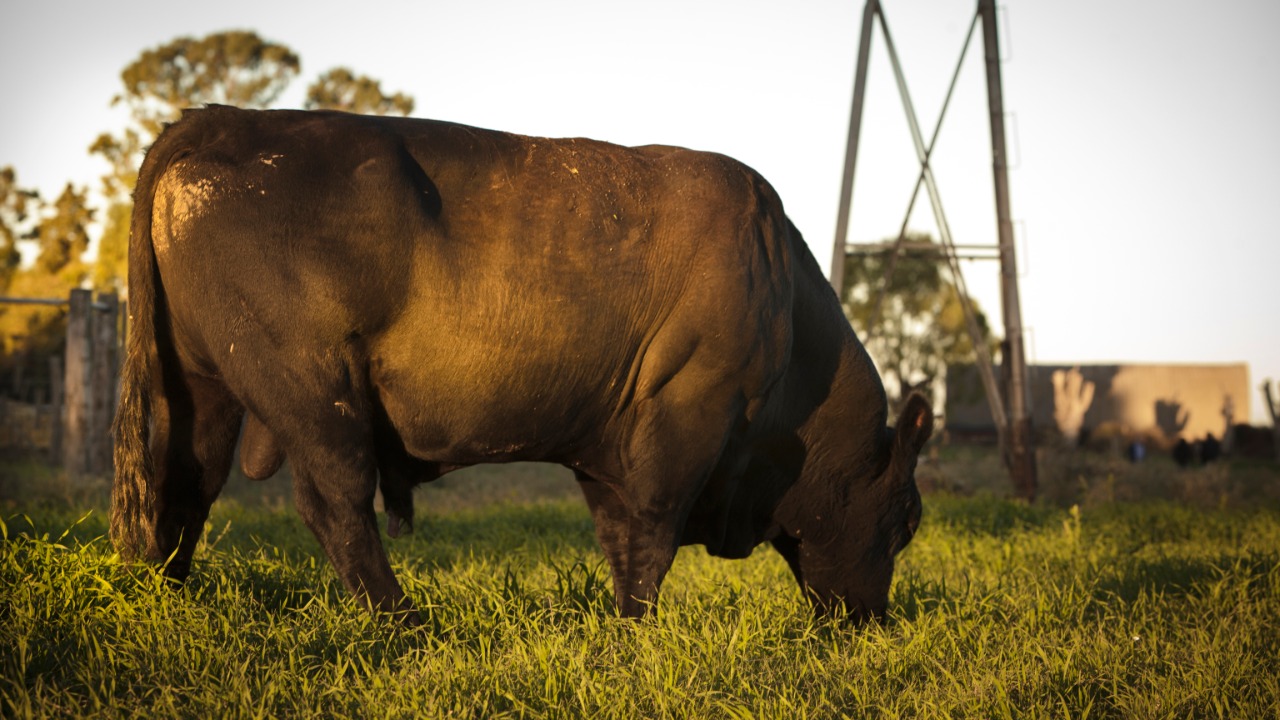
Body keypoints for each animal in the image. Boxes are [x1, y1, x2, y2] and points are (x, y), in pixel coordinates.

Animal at [112, 105, 931, 622]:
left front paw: (624, 627)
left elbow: (623, 539)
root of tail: (230, 118)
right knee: (335, 504)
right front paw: (639, 633)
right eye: (907, 520)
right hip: (316, 392)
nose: (871, 622)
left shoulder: (610, 445)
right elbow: (654, 534)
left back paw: (171, 598)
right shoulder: (690, 413)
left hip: (204, 389)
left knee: (185, 485)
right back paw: (405, 623)